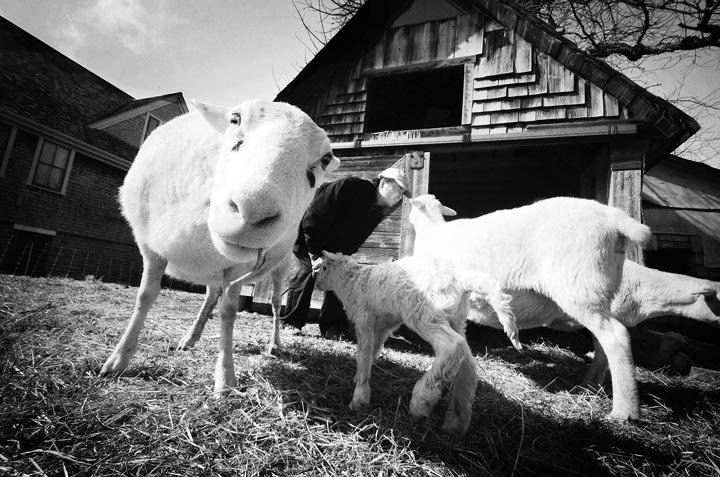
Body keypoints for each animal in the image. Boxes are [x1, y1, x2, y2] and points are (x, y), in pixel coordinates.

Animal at [99, 100, 340, 397]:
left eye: (325, 159)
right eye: (235, 119)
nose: (253, 210)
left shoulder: (238, 267)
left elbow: (228, 311)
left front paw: (225, 378)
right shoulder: (151, 248)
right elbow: (145, 296)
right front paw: (118, 360)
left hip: (280, 265)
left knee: (274, 302)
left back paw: (274, 344)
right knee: (210, 295)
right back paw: (190, 338)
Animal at [313, 251, 518, 436]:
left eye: (323, 268)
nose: (317, 284)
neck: (351, 281)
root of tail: (459, 278)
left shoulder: (364, 319)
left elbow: (363, 353)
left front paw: (359, 399)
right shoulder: (382, 325)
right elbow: (373, 350)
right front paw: (359, 378)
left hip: (425, 313)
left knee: (453, 346)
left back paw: (421, 402)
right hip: (455, 319)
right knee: (467, 363)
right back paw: (456, 421)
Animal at [408, 194, 652, 421]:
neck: (432, 231)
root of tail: (614, 218)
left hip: (580, 285)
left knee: (616, 337)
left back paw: (625, 410)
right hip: (598, 293)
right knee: (603, 343)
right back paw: (589, 387)